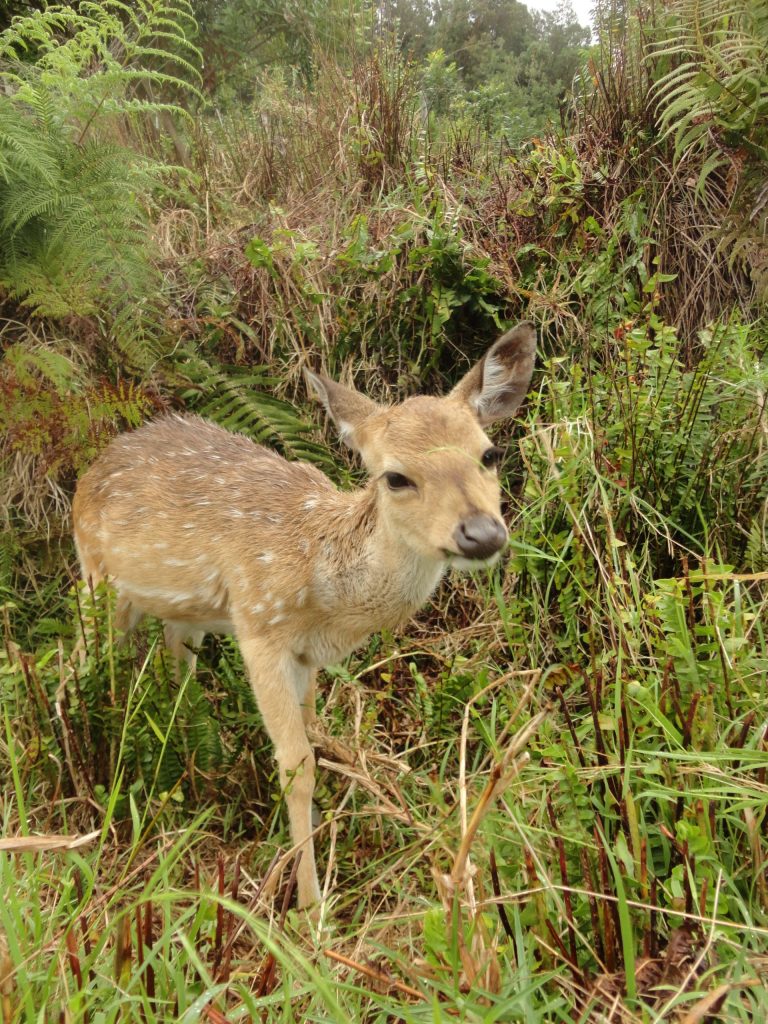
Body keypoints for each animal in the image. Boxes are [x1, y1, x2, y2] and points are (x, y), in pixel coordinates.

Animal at [72, 322, 536, 909]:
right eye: (395, 477)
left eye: (490, 453)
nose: (481, 533)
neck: (327, 589)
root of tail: (96, 463)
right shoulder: (259, 629)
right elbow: (297, 766)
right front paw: (310, 904)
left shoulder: (306, 654)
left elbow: (318, 731)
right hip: (97, 578)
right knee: (74, 661)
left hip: (185, 612)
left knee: (178, 662)